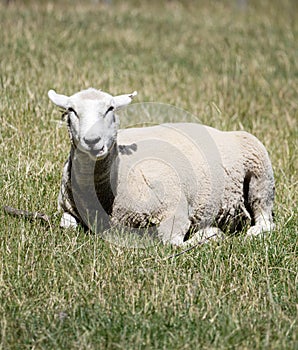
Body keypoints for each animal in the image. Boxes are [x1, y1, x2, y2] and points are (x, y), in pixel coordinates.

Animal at [48, 87, 274, 246]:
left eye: (110, 109)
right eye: (71, 110)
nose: (92, 141)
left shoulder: (174, 208)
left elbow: (173, 243)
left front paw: (211, 234)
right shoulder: (66, 209)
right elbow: (66, 226)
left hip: (261, 172)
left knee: (265, 216)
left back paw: (254, 232)